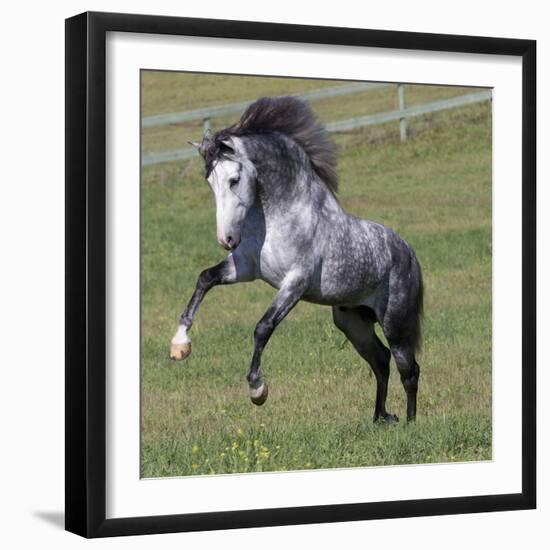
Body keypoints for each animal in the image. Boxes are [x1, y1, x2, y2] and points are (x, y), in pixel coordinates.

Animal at [170, 97, 424, 422]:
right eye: (210, 182)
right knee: (381, 361)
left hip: (395, 323)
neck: (283, 215)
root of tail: (408, 252)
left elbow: (263, 327)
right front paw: (180, 345)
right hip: (353, 324)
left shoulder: (295, 283)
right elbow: (204, 278)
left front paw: (257, 390)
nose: (226, 239)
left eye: (234, 180)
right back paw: (380, 418)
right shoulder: (245, 267)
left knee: (409, 369)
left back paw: (410, 423)